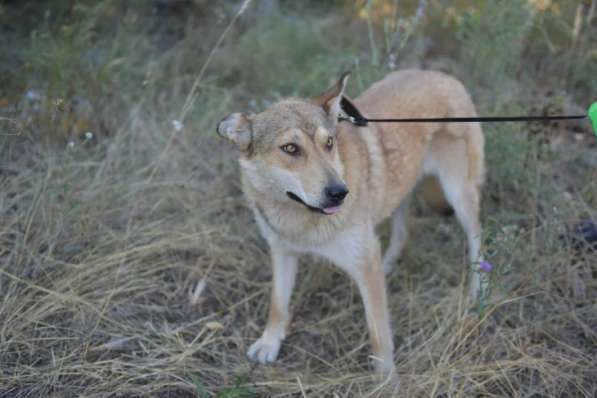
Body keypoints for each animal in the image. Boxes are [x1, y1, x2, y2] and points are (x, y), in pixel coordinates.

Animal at [217, 70, 482, 374]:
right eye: (290, 148)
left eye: (329, 143)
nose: (339, 192)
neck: (300, 217)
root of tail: (442, 75)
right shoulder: (283, 251)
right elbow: (278, 305)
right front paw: (269, 342)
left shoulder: (363, 262)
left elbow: (379, 333)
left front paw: (386, 377)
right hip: (400, 191)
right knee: (402, 232)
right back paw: (388, 264)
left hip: (458, 194)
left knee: (477, 239)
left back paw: (479, 291)